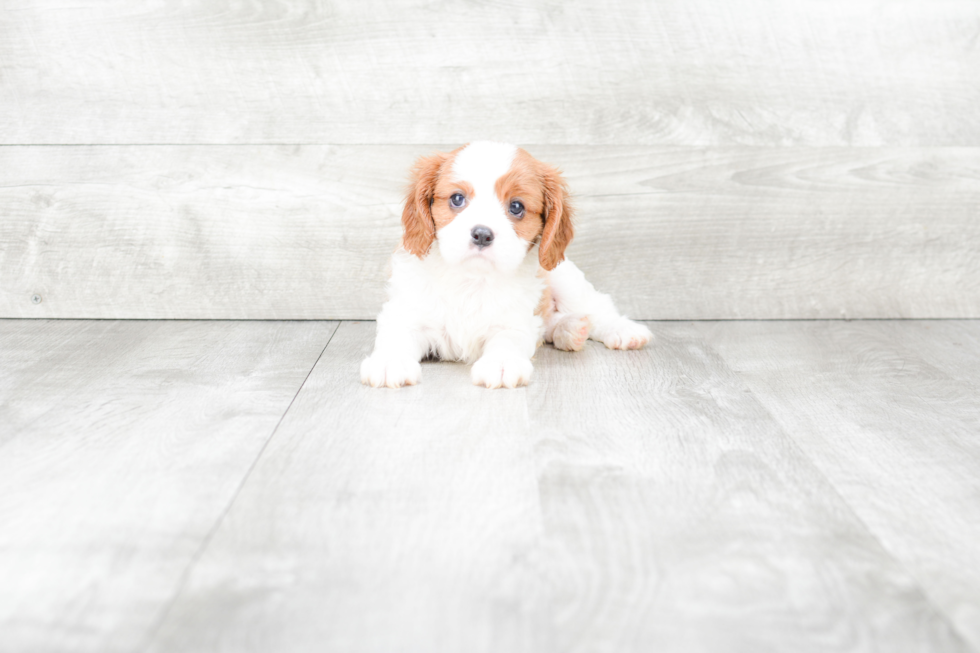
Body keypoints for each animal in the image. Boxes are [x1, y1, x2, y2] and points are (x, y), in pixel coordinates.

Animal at [360, 141, 652, 388]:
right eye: (457, 199)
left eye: (516, 206)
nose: (481, 234)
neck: (472, 279)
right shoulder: (407, 311)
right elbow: (397, 335)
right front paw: (390, 362)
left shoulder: (515, 321)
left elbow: (507, 339)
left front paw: (501, 363)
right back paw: (571, 330)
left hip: (564, 278)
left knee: (596, 306)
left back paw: (621, 330)